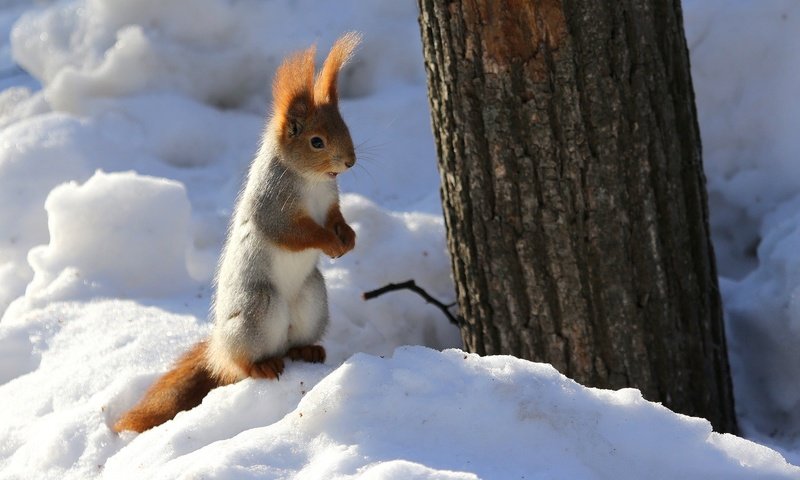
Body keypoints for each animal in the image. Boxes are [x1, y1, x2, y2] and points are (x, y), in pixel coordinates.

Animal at [111, 31, 360, 434]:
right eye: (316, 141)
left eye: (346, 127)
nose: (350, 162)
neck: (312, 181)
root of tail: (219, 349)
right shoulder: (271, 207)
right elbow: (294, 233)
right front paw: (328, 242)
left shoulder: (329, 203)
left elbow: (336, 217)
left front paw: (348, 237)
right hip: (258, 308)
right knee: (243, 365)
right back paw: (261, 365)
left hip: (312, 300)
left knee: (293, 343)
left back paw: (306, 349)